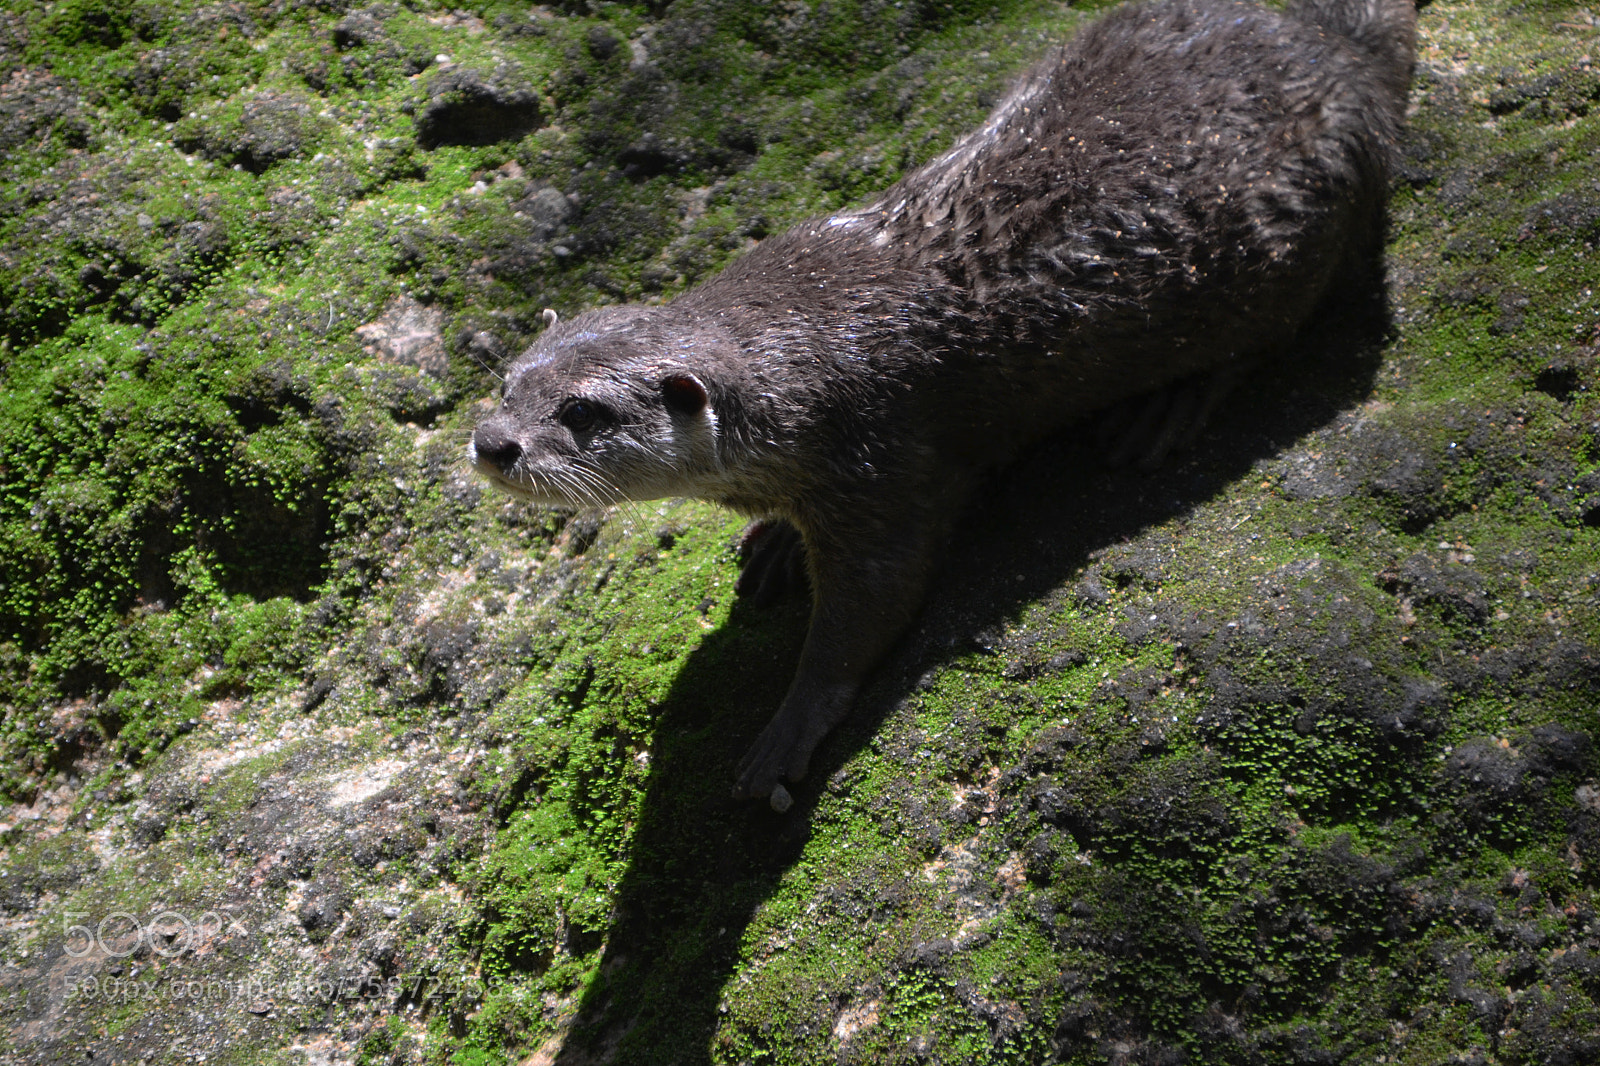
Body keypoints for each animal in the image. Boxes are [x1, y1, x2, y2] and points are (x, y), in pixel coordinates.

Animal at [471, 0, 1418, 809]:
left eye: (582, 413)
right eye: (510, 382)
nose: (492, 443)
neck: (798, 354)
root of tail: (1337, 44)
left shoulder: (879, 463)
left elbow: (870, 607)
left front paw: (787, 731)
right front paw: (777, 542)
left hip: (1298, 230)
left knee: (1275, 329)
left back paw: (1169, 409)